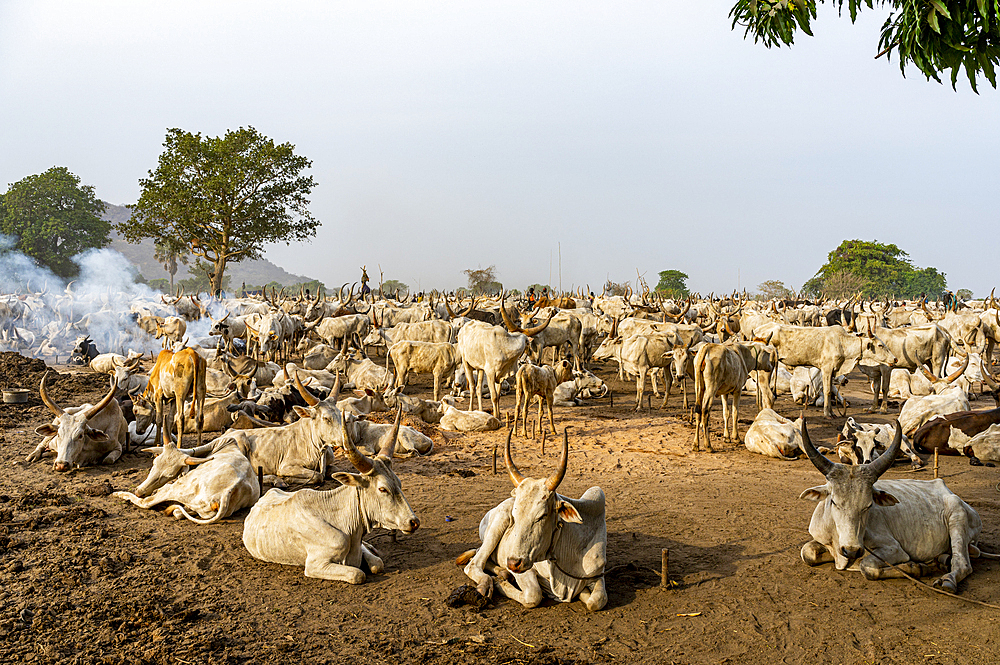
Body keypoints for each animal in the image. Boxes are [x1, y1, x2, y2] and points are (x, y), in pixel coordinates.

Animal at [242, 410, 418, 580]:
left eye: (399, 483)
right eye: (383, 489)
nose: (414, 522)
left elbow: (377, 564)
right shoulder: (316, 565)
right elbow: (358, 575)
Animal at [458, 428, 604, 608]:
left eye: (542, 516)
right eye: (514, 517)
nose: (513, 563)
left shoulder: (598, 576)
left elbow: (596, 601)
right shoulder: (526, 568)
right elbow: (534, 595)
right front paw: (499, 583)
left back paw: (502, 572)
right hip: (496, 528)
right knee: (474, 564)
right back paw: (491, 582)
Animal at [796, 418, 992, 592]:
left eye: (869, 505)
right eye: (834, 502)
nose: (851, 551)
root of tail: (950, 493)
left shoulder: (893, 549)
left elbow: (867, 566)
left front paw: (916, 567)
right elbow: (807, 552)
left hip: (957, 518)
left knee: (963, 564)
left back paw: (947, 579)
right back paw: (942, 560)